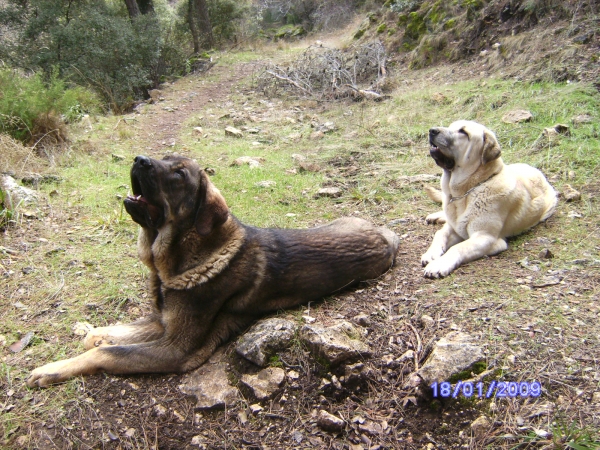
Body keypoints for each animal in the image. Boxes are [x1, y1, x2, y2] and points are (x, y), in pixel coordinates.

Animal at [28, 156, 398, 386]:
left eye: (178, 175)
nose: (138, 160)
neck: (184, 258)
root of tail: (387, 238)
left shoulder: (176, 349)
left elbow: (108, 352)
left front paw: (51, 369)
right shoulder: (163, 321)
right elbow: (114, 334)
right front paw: (98, 333)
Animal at [422, 122, 556, 278]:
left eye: (463, 132)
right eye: (451, 126)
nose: (432, 131)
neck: (467, 191)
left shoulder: (486, 238)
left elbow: (458, 247)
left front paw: (439, 264)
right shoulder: (453, 227)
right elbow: (440, 234)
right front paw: (431, 254)